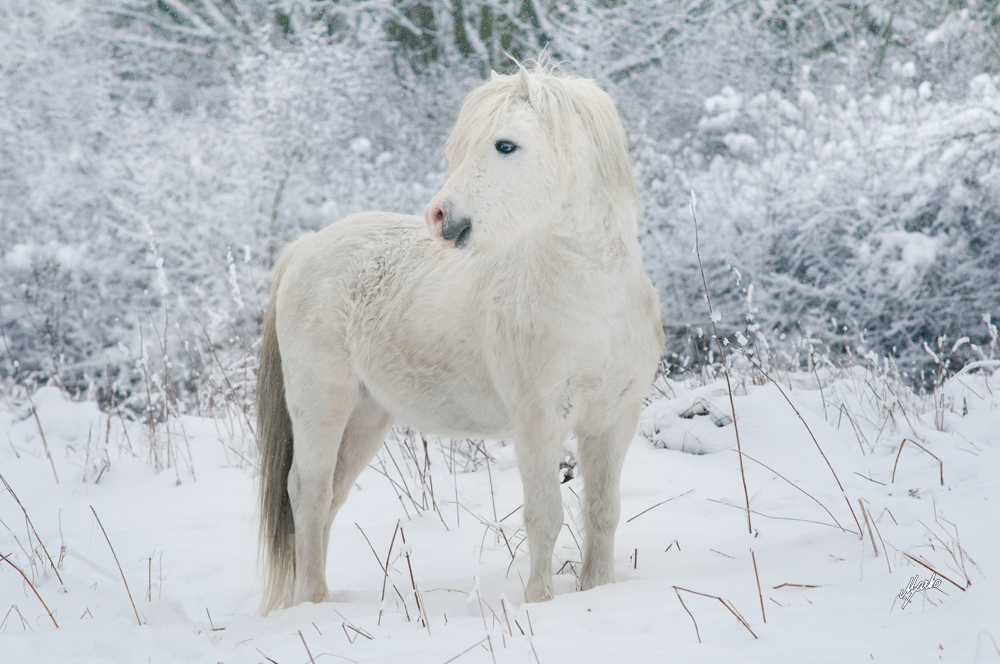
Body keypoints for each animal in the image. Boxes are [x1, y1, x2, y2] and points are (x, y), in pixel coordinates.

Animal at [258, 59, 664, 616]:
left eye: (505, 145)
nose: (439, 217)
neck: (592, 302)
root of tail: (305, 246)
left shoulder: (613, 420)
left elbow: (602, 511)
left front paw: (596, 589)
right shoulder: (538, 424)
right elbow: (545, 517)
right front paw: (538, 602)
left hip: (366, 416)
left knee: (330, 496)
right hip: (321, 403)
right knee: (308, 491)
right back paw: (312, 602)